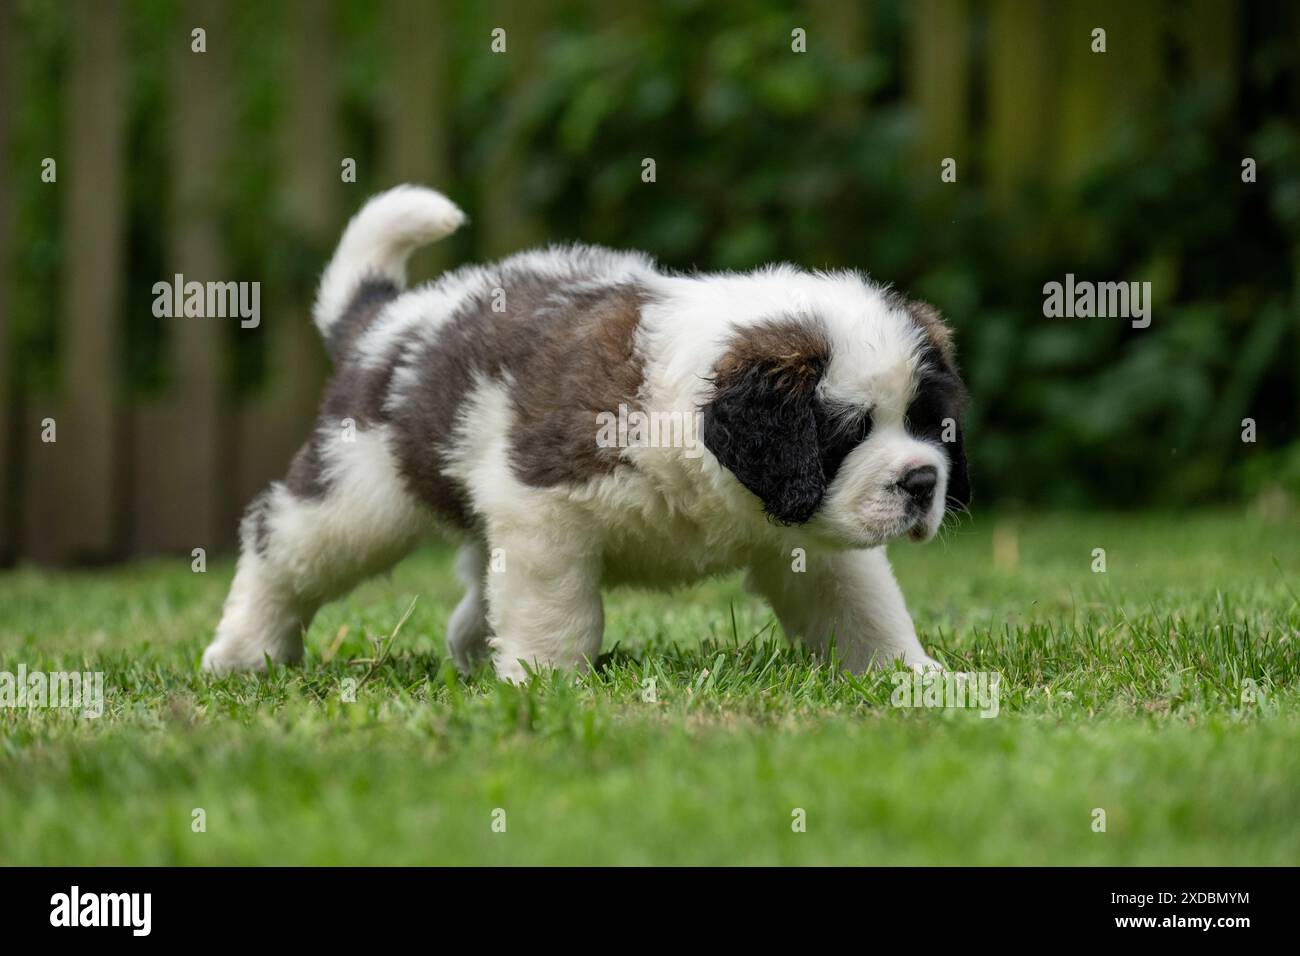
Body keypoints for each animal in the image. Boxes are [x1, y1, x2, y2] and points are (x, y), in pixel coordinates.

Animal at [202, 184, 972, 681]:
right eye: (847, 430)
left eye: (927, 424)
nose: (922, 481)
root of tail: (386, 324)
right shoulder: (544, 508)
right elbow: (557, 611)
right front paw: (549, 686)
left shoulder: (812, 534)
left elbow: (862, 605)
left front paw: (916, 679)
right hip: (360, 493)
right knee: (281, 545)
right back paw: (244, 651)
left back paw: (474, 652)